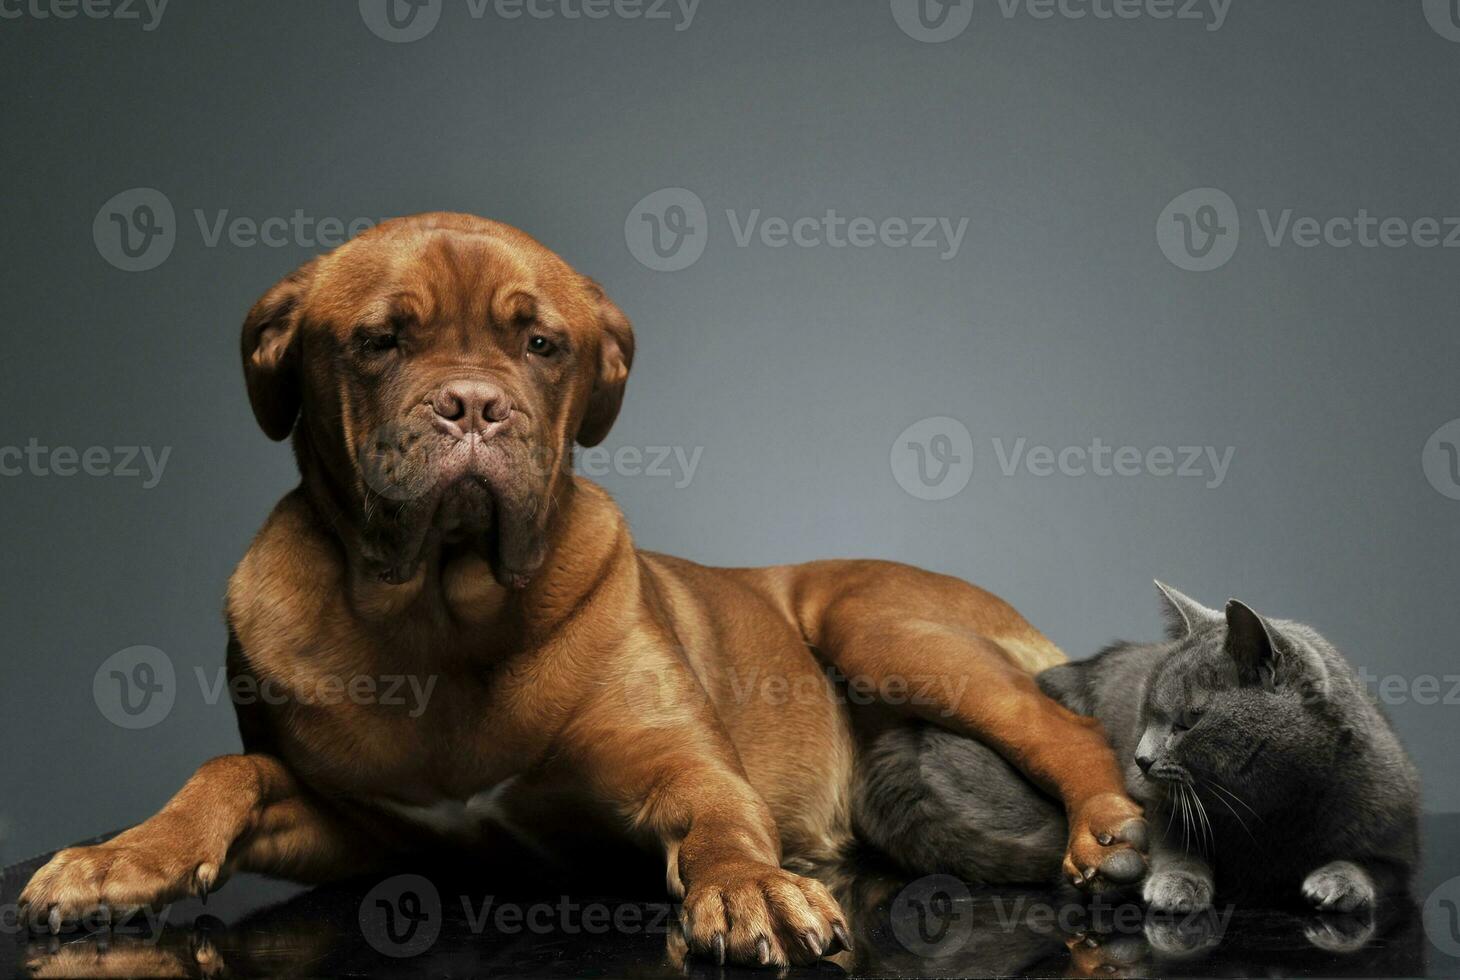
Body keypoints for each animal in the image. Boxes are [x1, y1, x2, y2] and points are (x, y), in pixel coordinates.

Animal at [17, 213, 1144, 963]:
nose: (473, 405)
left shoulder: (676, 760)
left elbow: (721, 818)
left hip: (879, 623)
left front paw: (753, 890)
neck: (438, 613)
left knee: (1070, 733)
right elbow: (228, 771)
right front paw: (122, 856)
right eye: (380, 340)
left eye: (540, 342)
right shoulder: (359, 824)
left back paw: (1106, 831)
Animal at [858, 584, 1419, 911]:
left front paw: (1338, 882)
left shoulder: (1397, 835)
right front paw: (1176, 885)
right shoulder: (1156, 804)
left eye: (1189, 720)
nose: (1140, 759)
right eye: (1146, 715)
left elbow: (1375, 867)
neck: (1269, 815)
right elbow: (1172, 841)